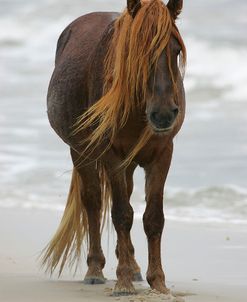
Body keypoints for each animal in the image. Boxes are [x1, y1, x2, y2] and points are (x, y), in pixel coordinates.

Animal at [42, 0, 185, 296]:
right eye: (135, 51)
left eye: (175, 50)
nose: (164, 114)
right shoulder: (112, 155)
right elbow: (121, 214)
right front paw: (123, 282)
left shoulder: (162, 154)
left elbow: (153, 218)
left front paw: (158, 282)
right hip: (81, 153)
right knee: (94, 202)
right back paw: (95, 269)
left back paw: (133, 265)